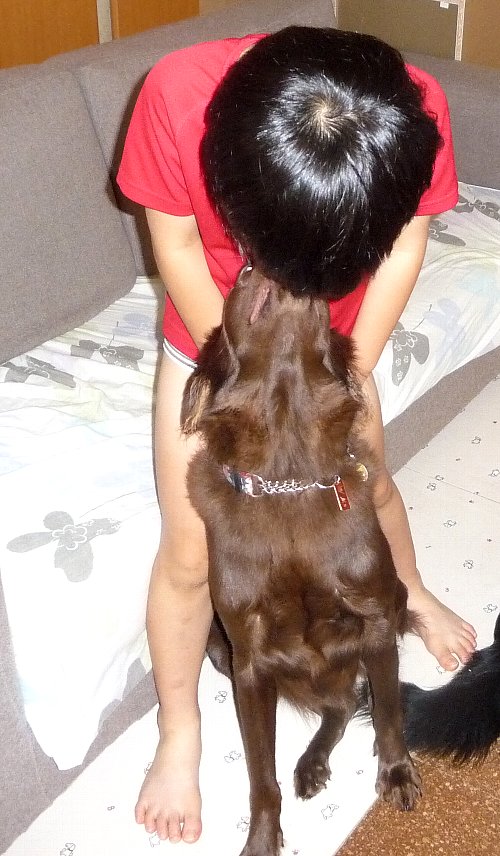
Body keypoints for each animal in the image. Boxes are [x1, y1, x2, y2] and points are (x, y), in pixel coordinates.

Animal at [181, 265, 421, 856]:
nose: (253, 264)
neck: (287, 469)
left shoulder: (376, 619)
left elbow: (388, 711)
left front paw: (397, 774)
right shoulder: (247, 661)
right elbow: (260, 775)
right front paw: (263, 838)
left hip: (394, 602)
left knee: (348, 700)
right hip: (217, 648)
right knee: (338, 705)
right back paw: (311, 763)